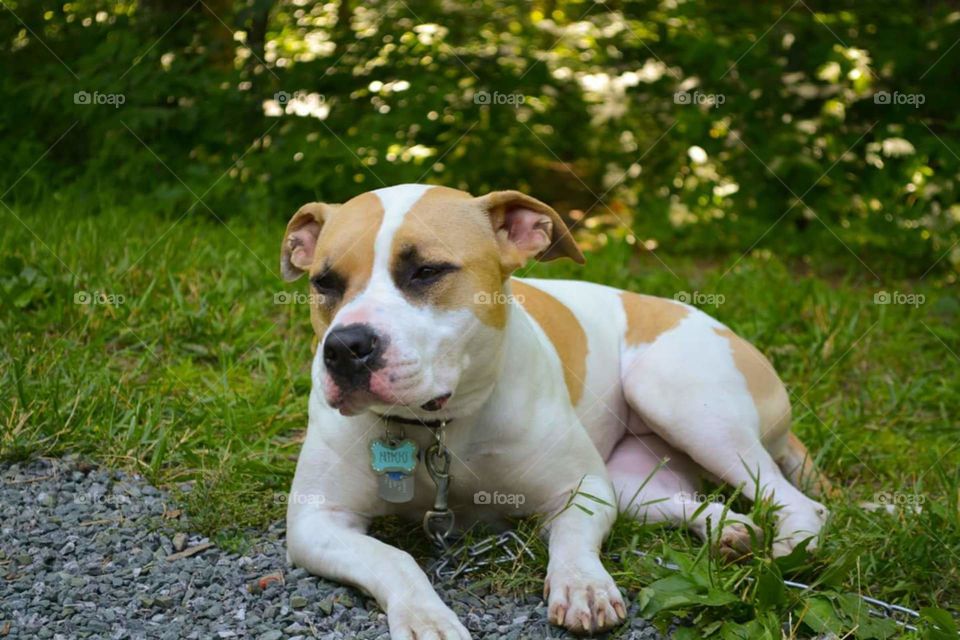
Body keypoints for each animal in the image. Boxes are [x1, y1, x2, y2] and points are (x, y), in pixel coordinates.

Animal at [282, 184, 828, 640]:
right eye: (324, 282)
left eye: (427, 271)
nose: (345, 347)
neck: (438, 429)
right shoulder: (316, 522)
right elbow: (393, 558)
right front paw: (425, 616)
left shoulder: (582, 488)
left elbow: (570, 539)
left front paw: (582, 584)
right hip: (631, 480)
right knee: (689, 502)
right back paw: (730, 530)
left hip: (681, 400)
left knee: (797, 502)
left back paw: (789, 552)